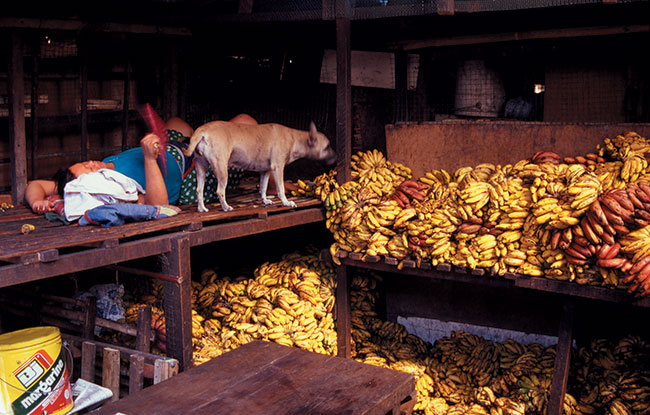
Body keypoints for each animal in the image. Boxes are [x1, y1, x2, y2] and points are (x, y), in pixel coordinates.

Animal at [182, 119, 334, 211]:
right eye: (327, 147)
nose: (336, 157)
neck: (295, 138)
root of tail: (202, 130)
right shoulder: (278, 168)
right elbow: (280, 189)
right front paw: (286, 202)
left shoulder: (265, 171)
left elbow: (263, 188)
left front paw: (265, 200)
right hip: (222, 169)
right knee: (220, 191)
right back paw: (225, 207)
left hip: (201, 168)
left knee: (199, 190)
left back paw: (201, 208)